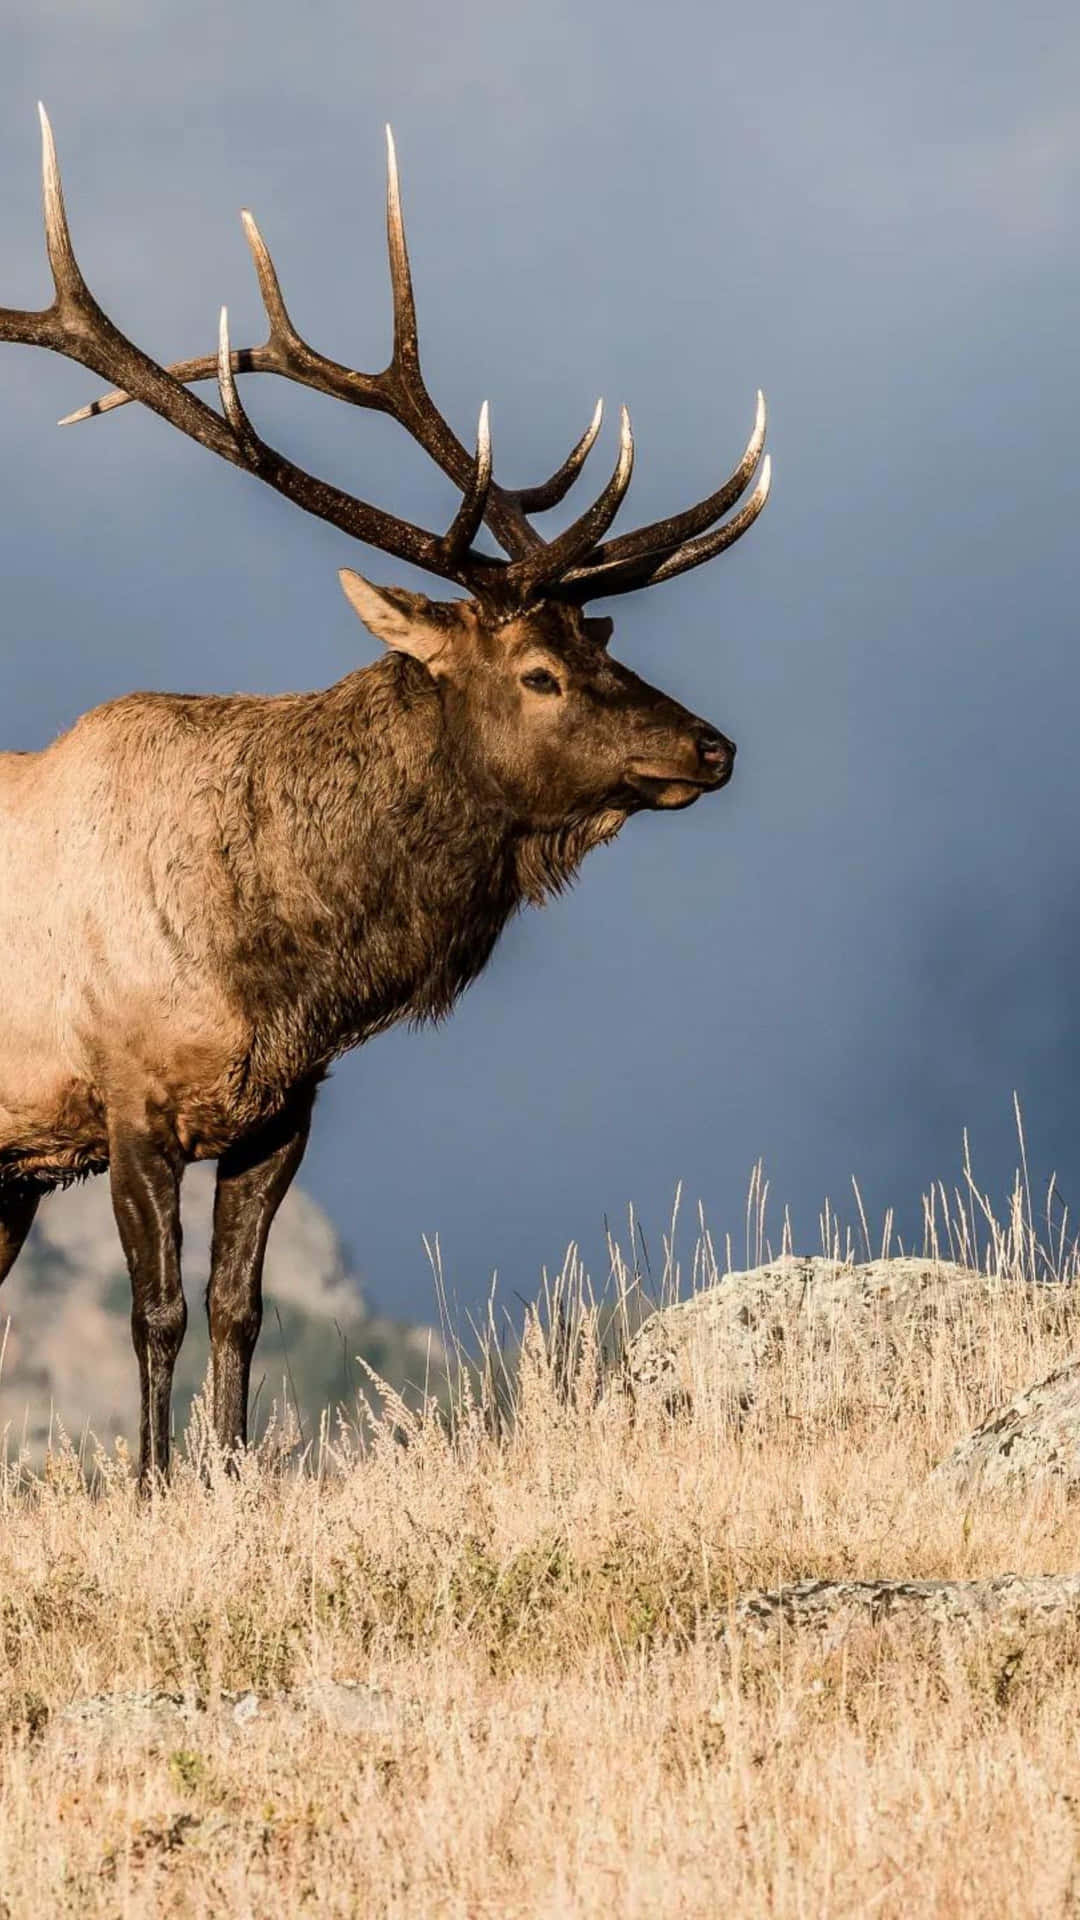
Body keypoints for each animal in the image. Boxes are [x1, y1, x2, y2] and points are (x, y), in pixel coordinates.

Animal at [0, 108, 772, 1482]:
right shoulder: (125, 1093)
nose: (711, 748)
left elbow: (240, 1309)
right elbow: (157, 1310)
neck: (271, 956)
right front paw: (146, 1484)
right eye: (536, 673)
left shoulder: (282, 1109)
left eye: (604, 643)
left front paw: (231, 1476)